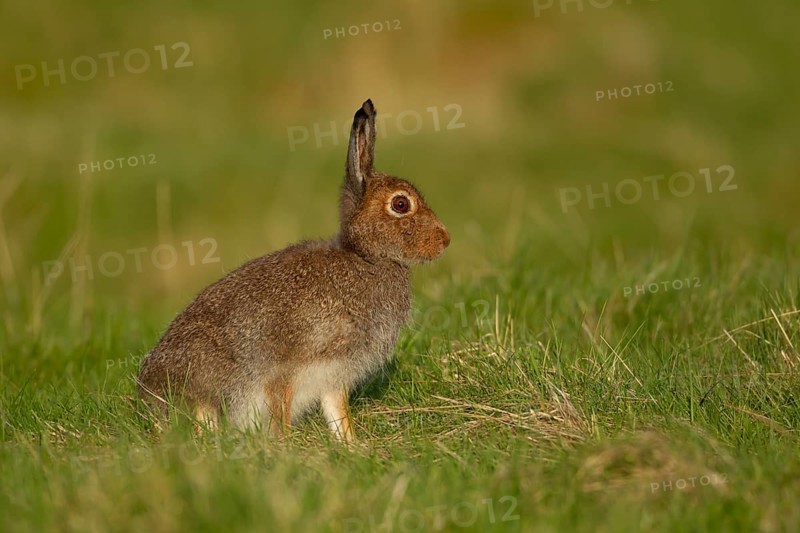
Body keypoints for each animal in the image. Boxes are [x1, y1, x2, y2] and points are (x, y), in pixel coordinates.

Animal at [137, 99, 450, 441]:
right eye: (401, 205)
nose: (445, 240)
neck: (365, 257)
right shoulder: (286, 369)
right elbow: (281, 410)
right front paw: (286, 447)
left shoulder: (334, 375)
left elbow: (338, 413)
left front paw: (351, 445)